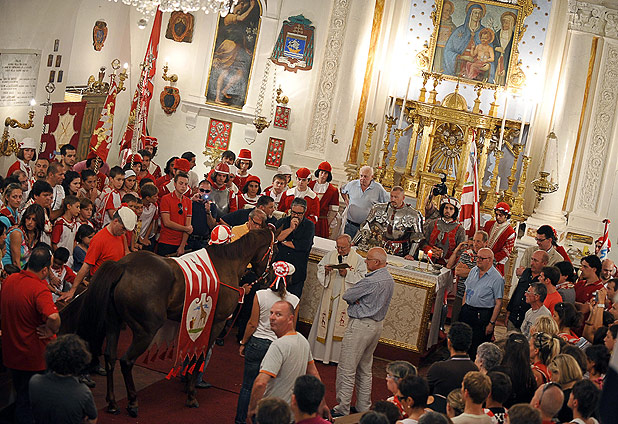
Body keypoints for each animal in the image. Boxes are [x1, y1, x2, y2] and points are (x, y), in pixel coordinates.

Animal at [74, 228, 275, 417]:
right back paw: (132, 402)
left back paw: (112, 402)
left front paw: (186, 383)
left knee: (110, 357)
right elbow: (200, 356)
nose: (272, 278)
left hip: (114, 324)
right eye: (275, 250)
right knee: (126, 361)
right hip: (145, 331)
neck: (227, 264)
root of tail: (123, 266)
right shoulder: (215, 323)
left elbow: (191, 353)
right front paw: (191, 394)